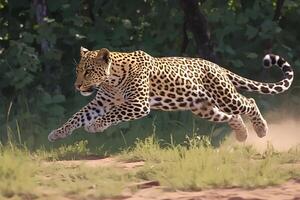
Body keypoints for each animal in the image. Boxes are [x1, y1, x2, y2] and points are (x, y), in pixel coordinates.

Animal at [48, 47, 294, 142]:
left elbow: (113, 114)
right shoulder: (99, 103)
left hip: (225, 96)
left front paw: (96, 125)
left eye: (88, 71)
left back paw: (261, 130)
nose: (77, 86)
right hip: (204, 108)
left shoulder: (138, 104)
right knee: (231, 116)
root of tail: (218, 67)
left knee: (248, 102)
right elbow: (76, 116)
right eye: (78, 71)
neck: (112, 80)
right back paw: (242, 134)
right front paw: (58, 133)